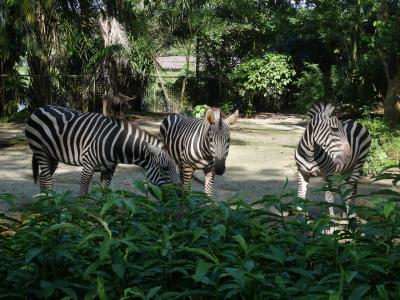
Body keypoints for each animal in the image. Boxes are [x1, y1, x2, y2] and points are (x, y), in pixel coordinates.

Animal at [24, 104, 180, 196]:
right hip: (40, 150)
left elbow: (105, 194)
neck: (116, 144)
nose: (179, 196)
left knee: (43, 177)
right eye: (165, 168)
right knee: (47, 179)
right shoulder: (88, 166)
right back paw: (49, 204)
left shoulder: (109, 170)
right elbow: (83, 194)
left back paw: (45, 203)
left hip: (52, 155)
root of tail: (39, 108)